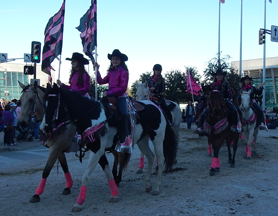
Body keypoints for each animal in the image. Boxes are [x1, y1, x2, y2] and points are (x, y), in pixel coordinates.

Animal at [39, 83, 177, 212]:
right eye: (44, 105)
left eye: (53, 104)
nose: (42, 129)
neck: (92, 117)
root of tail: (156, 107)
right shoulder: (97, 151)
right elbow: (108, 173)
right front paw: (114, 194)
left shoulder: (96, 151)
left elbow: (86, 176)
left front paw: (78, 203)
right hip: (142, 141)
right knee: (151, 157)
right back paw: (148, 184)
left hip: (158, 138)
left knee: (161, 159)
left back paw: (157, 188)